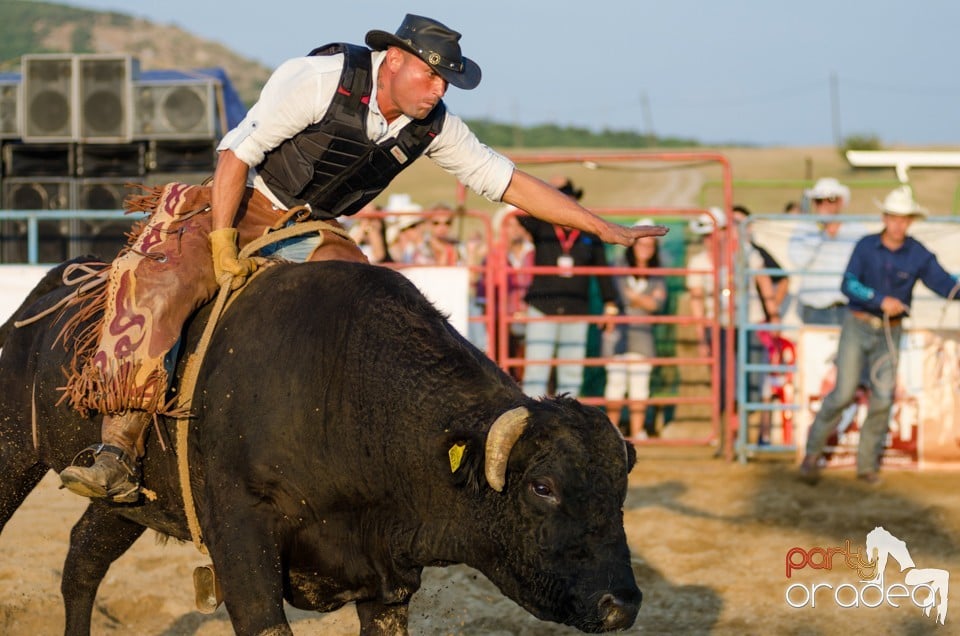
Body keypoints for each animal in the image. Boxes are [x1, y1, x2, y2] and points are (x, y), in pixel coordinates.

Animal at [1, 260, 644, 636]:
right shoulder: (242, 541)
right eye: (542, 486)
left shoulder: (387, 579)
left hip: (131, 502)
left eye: (620, 492)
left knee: (83, 559)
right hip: (13, 453)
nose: (622, 604)